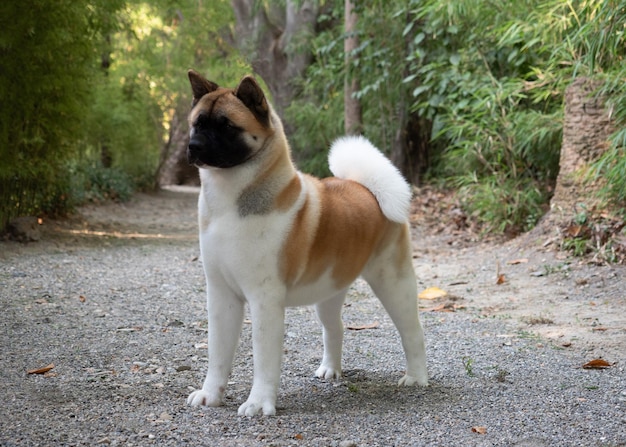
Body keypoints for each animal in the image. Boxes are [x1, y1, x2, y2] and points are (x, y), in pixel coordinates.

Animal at [185, 70, 426, 416]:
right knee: (335, 328)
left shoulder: (264, 300)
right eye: (197, 123)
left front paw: (258, 403)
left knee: (412, 332)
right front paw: (210, 395)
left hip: (394, 284)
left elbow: (263, 359)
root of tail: (367, 188)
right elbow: (218, 353)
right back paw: (330, 370)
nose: (193, 145)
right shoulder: (221, 296)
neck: (229, 201)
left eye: (227, 126)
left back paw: (417, 377)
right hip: (329, 292)